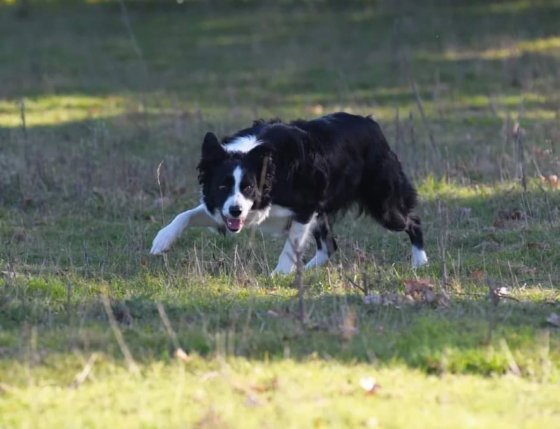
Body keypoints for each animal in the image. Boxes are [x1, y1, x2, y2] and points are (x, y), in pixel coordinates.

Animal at [151, 112, 426, 274]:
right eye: (222, 186)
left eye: (248, 187)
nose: (236, 211)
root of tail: (372, 123)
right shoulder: (223, 210)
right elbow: (185, 215)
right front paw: (162, 240)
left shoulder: (306, 207)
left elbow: (290, 244)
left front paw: (280, 274)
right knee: (329, 246)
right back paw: (308, 268)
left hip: (384, 203)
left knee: (413, 221)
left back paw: (420, 261)